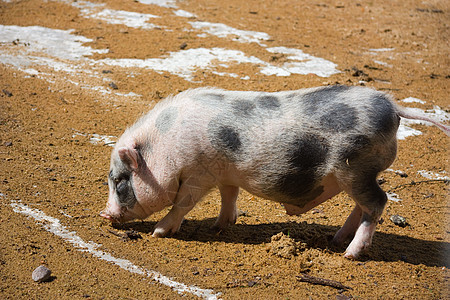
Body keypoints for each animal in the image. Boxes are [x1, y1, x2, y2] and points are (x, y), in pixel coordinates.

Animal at [99, 85, 450, 258]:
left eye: (119, 181)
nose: (105, 215)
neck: (164, 146)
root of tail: (393, 107)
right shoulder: (225, 173)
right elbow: (230, 196)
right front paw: (220, 227)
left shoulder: (200, 174)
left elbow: (183, 203)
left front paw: (160, 232)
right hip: (357, 174)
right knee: (364, 205)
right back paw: (337, 240)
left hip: (356, 168)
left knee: (378, 202)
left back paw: (350, 254)